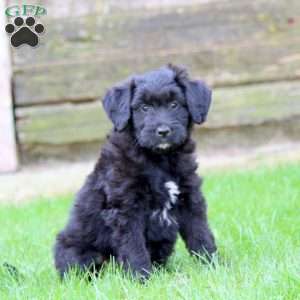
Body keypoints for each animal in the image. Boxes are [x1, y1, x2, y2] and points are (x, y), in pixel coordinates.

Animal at [54, 64, 217, 280]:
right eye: (144, 108)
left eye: (174, 104)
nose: (163, 131)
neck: (159, 159)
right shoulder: (126, 208)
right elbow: (134, 246)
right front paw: (142, 278)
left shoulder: (190, 198)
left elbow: (200, 235)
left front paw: (215, 267)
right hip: (75, 249)